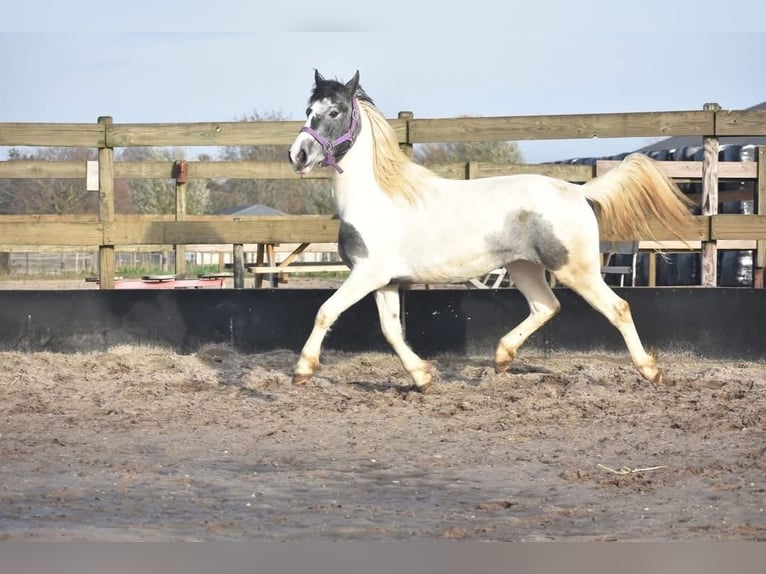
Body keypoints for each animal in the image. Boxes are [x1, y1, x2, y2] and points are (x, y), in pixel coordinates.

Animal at [288, 70, 694, 393]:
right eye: (308, 111)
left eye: (334, 112)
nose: (298, 156)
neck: (376, 196)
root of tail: (578, 191)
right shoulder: (385, 281)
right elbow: (391, 331)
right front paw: (422, 377)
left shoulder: (366, 274)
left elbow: (325, 311)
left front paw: (302, 371)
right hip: (523, 268)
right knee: (547, 305)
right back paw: (501, 358)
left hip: (576, 270)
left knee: (618, 308)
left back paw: (651, 371)